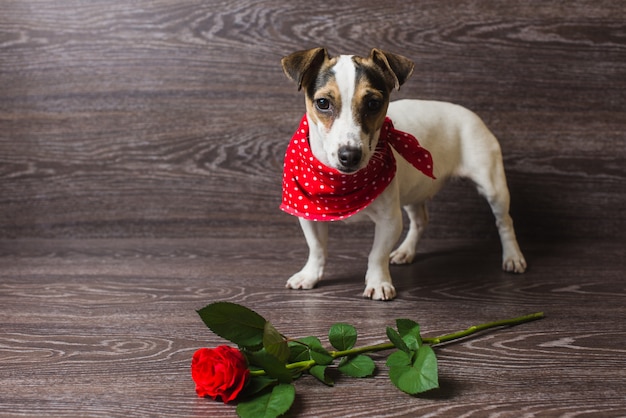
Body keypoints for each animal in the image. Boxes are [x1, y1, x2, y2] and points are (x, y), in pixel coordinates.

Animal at [280, 47, 524, 298]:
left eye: (373, 103)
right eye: (322, 103)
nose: (349, 155)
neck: (343, 182)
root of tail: (471, 114)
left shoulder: (389, 221)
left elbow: (376, 255)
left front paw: (378, 282)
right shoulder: (309, 215)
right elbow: (317, 248)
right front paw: (310, 275)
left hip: (493, 186)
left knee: (505, 221)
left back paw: (513, 256)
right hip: (415, 189)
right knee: (420, 221)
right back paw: (406, 251)